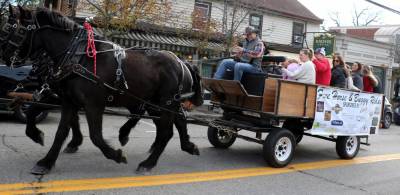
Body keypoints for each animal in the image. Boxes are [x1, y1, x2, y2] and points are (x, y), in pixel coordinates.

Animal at [2, 6, 203, 174]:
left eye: (18, 30)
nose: (5, 57)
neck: (77, 57)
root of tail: (182, 62)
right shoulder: (68, 100)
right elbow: (61, 131)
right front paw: (46, 160)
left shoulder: (93, 104)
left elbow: (96, 136)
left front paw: (117, 155)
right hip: (159, 102)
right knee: (176, 122)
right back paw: (186, 146)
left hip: (166, 102)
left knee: (165, 132)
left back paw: (147, 163)